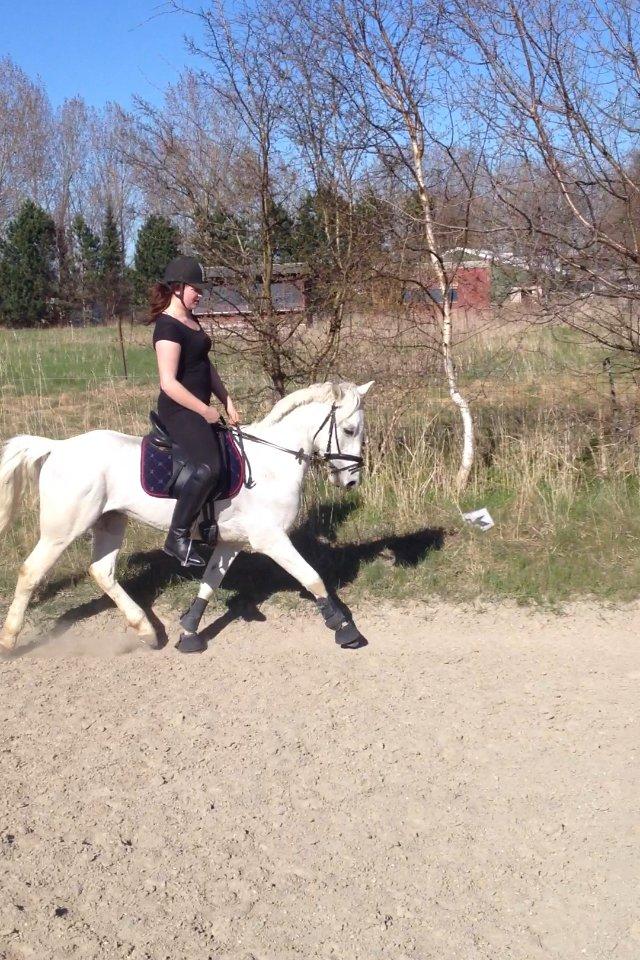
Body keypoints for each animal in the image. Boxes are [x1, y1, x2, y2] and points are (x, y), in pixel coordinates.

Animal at [0, 380, 373, 654]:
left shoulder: (232, 542)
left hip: (111, 522)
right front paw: (345, 630)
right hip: (62, 530)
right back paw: (9, 640)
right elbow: (313, 578)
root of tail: (58, 446)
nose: (351, 481)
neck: (271, 461)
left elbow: (209, 583)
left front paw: (189, 633)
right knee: (30, 571)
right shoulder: (271, 539)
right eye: (350, 430)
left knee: (101, 572)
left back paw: (147, 631)